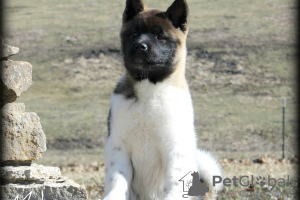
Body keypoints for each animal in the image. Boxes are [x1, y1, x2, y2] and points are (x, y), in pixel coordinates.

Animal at [103, 0, 223, 199]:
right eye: (134, 33)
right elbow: (116, 178)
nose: (140, 46)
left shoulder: (174, 147)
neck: (150, 89)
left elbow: (174, 180)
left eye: (160, 36)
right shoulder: (118, 145)